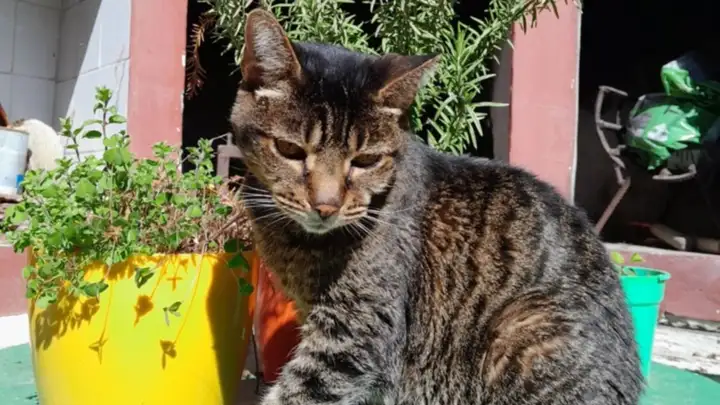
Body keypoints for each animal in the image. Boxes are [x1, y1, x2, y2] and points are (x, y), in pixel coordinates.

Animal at [231, 9, 643, 405]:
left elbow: (302, 389)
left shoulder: (356, 329)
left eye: (365, 160)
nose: (326, 205)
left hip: (524, 332)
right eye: (289, 150)